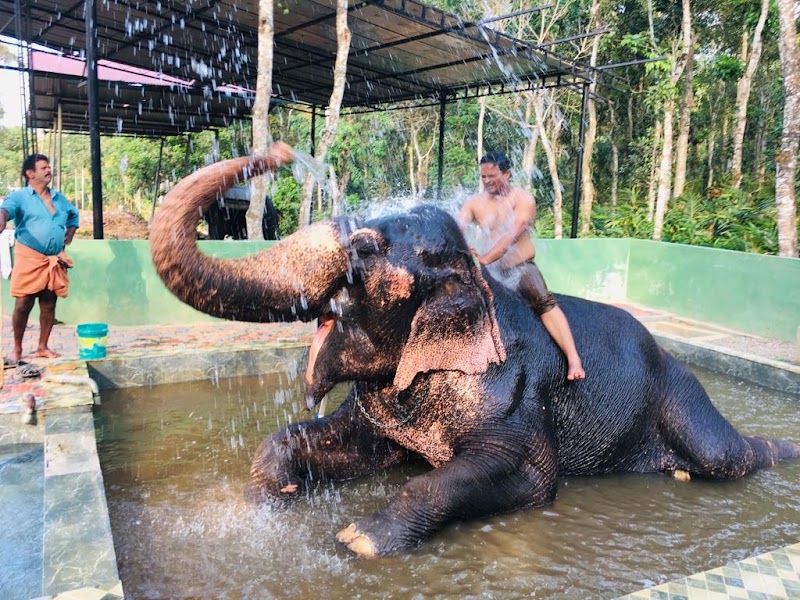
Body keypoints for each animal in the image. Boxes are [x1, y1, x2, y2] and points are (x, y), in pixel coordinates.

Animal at [150, 143, 799, 558]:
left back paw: (773, 449)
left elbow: (530, 477)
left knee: (722, 454)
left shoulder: (514, 388)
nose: (284, 151)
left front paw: (359, 539)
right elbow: (328, 441)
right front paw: (265, 500)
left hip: (681, 391)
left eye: (365, 248)